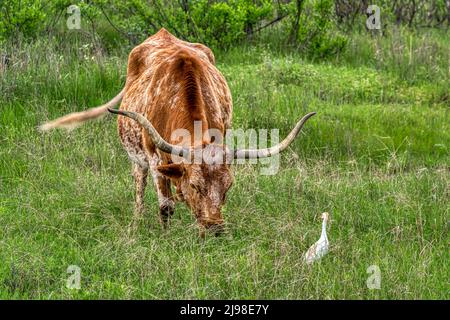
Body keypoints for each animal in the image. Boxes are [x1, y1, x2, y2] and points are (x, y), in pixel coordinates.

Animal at [41, 28, 316, 236]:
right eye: (195, 185)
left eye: (228, 187)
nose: (215, 229)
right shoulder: (155, 158)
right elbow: (165, 205)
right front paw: (165, 236)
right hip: (137, 158)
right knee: (139, 184)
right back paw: (137, 221)